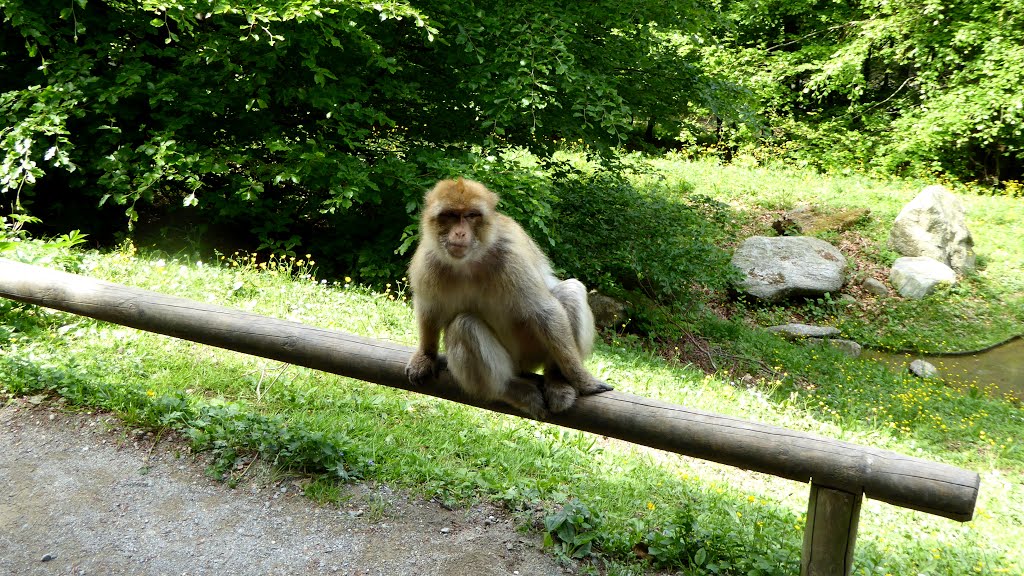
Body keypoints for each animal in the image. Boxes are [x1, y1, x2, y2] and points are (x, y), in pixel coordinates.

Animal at [403, 176, 610, 416]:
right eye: (451, 215)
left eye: (471, 215)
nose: (460, 233)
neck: (469, 262)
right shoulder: (428, 261)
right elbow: (430, 309)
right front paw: (426, 355)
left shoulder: (511, 259)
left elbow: (545, 312)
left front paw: (582, 379)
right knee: (464, 324)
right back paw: (507, 389)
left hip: (532, 350)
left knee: (570, 291)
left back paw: (557, 379)